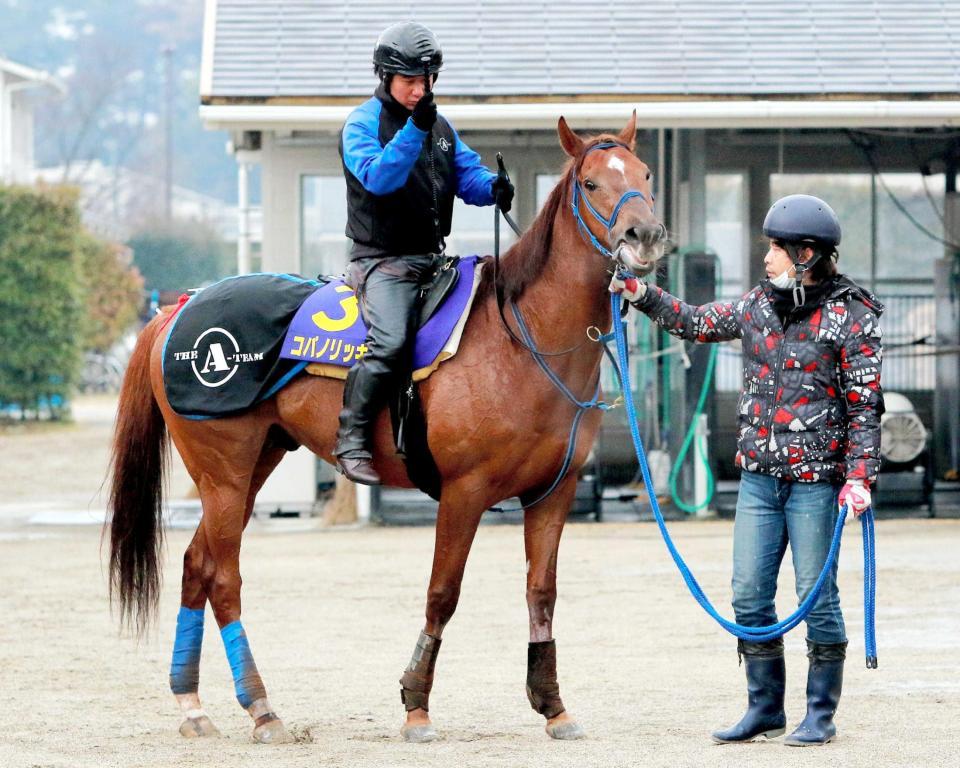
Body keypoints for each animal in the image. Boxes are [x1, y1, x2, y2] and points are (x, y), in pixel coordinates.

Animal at [105, 114, 660, 744]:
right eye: (591, 183)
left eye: (644, 174)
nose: (645, 235)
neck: (523, 338)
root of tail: (179, 307)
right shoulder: (465, 493)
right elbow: (442, 594)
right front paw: (416, 704)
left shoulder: (553, 493)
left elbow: (541, 592)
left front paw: (552, 705)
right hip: (223, 476)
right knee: (223, 579)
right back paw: (262, 708)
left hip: (250, 470)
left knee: (196, 566)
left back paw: (193, 704)